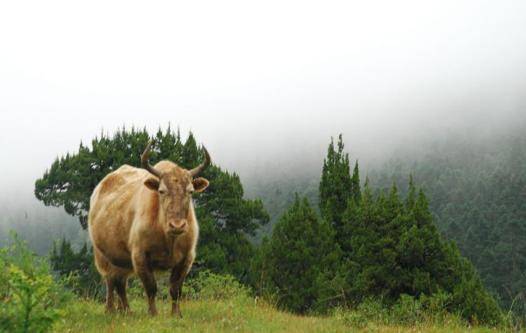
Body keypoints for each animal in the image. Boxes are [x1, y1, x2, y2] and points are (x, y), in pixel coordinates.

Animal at [87, 139, 211, 316]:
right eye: (161, 191)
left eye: (190, 191)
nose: (177, 225)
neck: (168, 236)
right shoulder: (140, 256)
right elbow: (151, 287)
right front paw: (153, 313)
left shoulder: (187, 258)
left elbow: (175, 289)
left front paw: (176, 314)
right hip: (103, 256)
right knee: (110, 281)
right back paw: (110, 309)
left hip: (122, 261)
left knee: (120, 283)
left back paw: (126, 310)